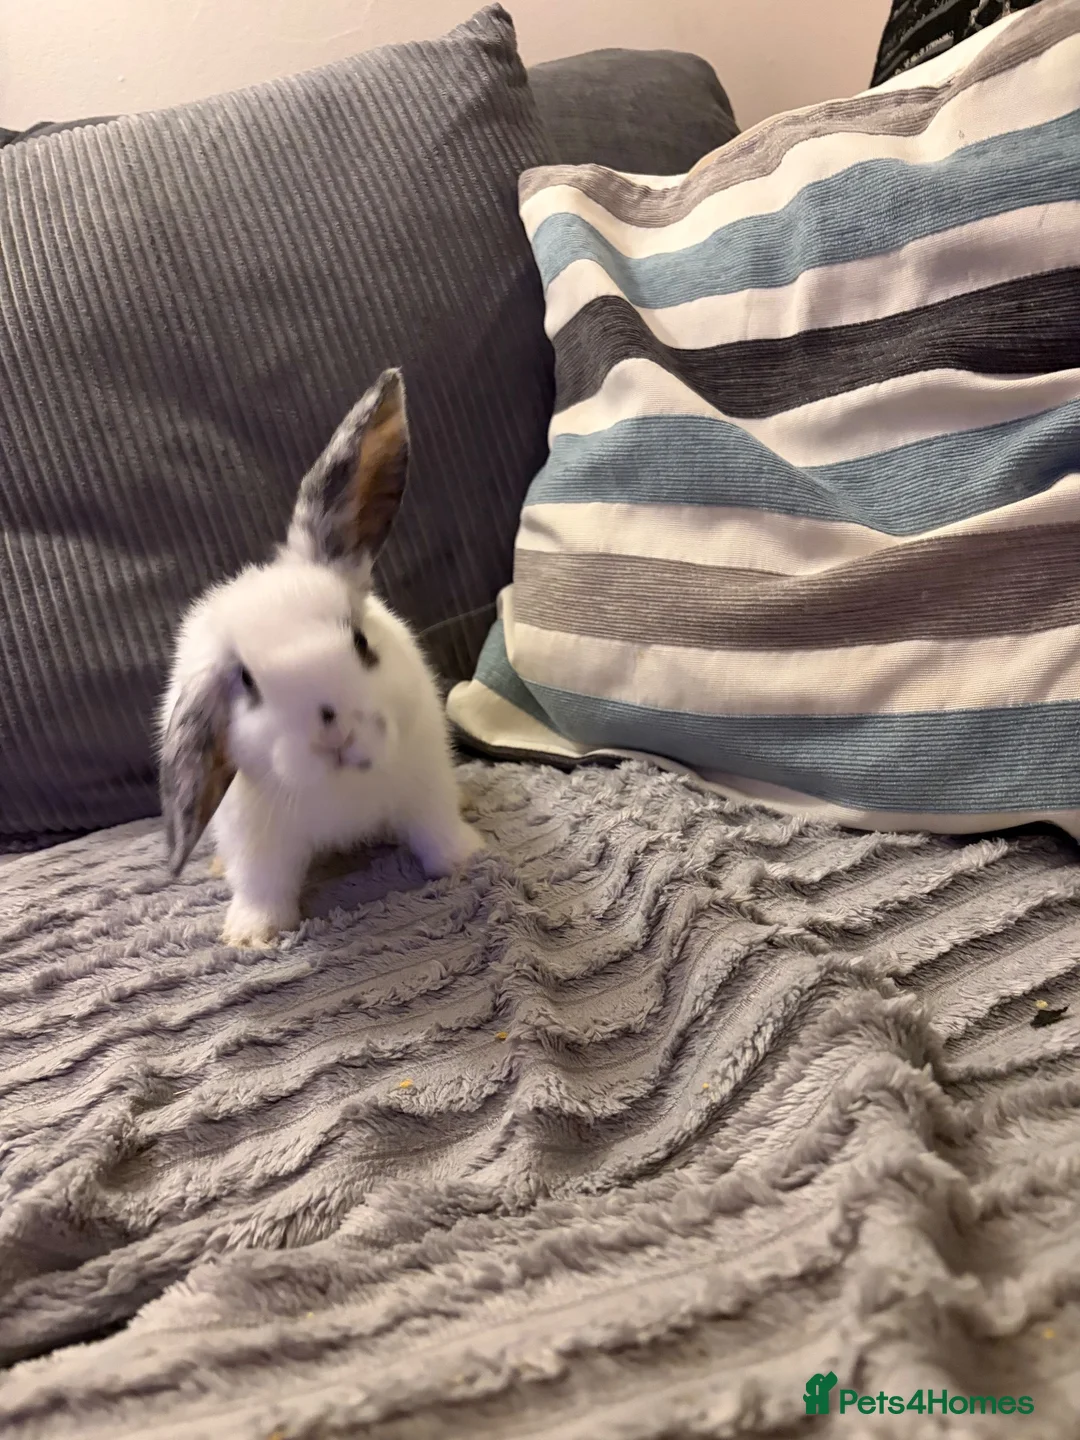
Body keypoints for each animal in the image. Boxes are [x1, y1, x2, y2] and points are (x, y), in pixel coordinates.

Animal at [157, 368, 483, 948]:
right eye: (247, 683)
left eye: (360, 643)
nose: (335, 729)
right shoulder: (257, 839)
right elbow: (262, 884)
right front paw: (251, 935)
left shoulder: (425, 784)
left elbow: (436, 833)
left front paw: (469, 860)